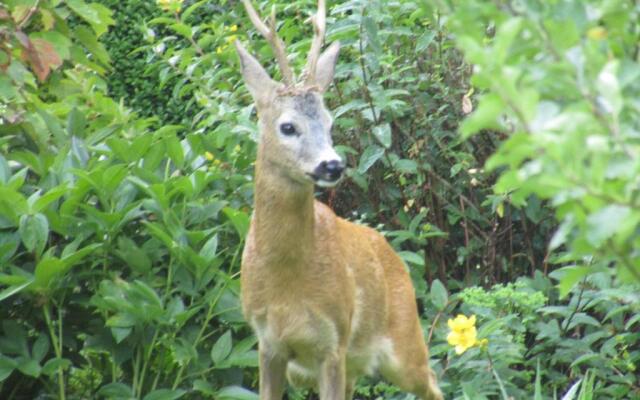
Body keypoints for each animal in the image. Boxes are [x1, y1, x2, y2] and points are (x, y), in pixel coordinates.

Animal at [236, 1, 444, 398]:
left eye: (331, 123)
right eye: (288, 126)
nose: (332, 164)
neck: (287, 282)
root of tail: (394, 255)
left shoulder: (332, 341)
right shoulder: (267, 344)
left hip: (403, 342)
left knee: (434, 383)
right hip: (352, 367)